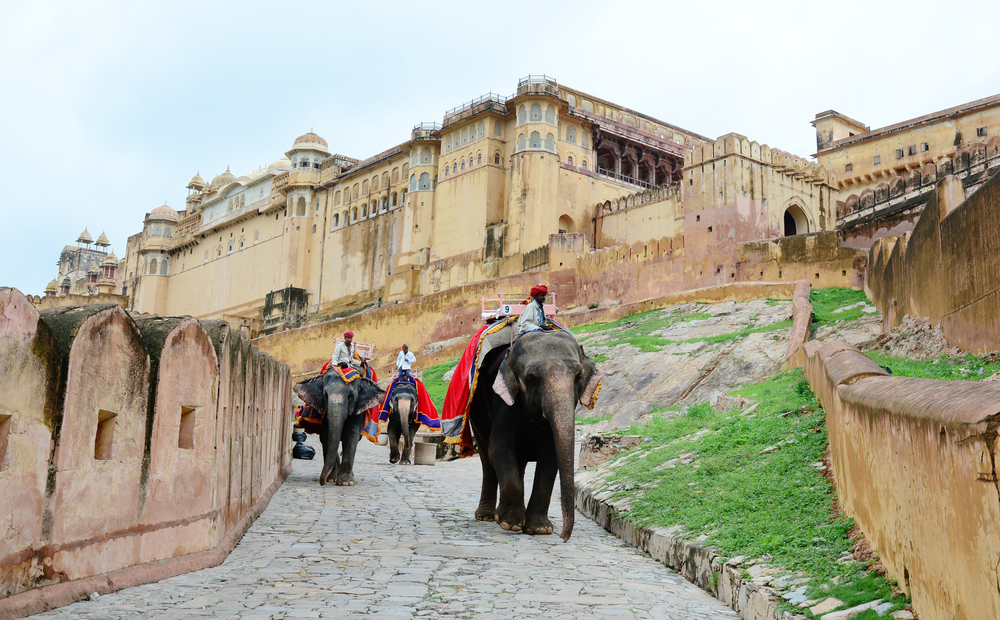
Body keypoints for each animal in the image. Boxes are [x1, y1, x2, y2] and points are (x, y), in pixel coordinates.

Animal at [470, 330, 600, 544]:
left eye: (578, 376)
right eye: (531, 377)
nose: (563, 537)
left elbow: (550, 457)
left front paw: (539, 529)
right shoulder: (503, 404)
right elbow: (499, 449)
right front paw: (510, 524)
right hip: (476, 411)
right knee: (487, 458)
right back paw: (487, 516)